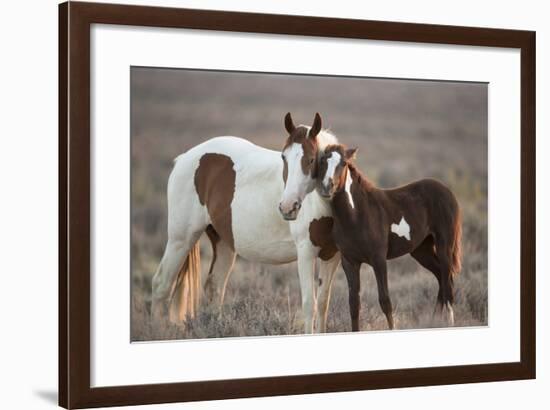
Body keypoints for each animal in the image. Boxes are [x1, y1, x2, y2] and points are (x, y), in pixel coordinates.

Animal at [152, 112, 340, 334]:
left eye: (312, 159)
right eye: (283, 157)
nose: (288, 207)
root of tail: (185, 158)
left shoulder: (332, 256)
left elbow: (323, 304)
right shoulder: (306, 253)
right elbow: (310, 304)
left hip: (223, 242)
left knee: (215, 288)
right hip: (180, 240)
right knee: (161, 284)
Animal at [316, 144, 464, 330]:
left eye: (343, 163)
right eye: (322, 161)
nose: (327, 187)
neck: (357, 214)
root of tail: (447, 190)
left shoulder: (378, 259)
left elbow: (385, 301)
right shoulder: (350, 262)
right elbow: (354, 304)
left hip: (445, 245)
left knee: (448, 283)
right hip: (421, 250)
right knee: (441, 278)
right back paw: (433, 322)